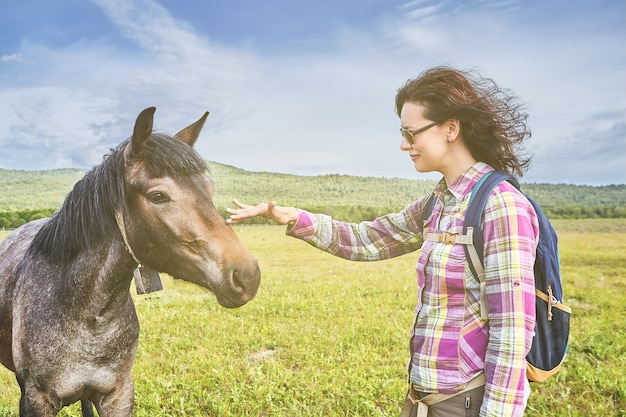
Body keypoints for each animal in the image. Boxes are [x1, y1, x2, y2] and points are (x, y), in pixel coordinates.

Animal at [0, 108, 260, 416]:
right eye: (157, 195)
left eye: (209, 189)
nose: (248, 275)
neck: (88, 318)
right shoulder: (36, 400)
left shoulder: (118, 394)